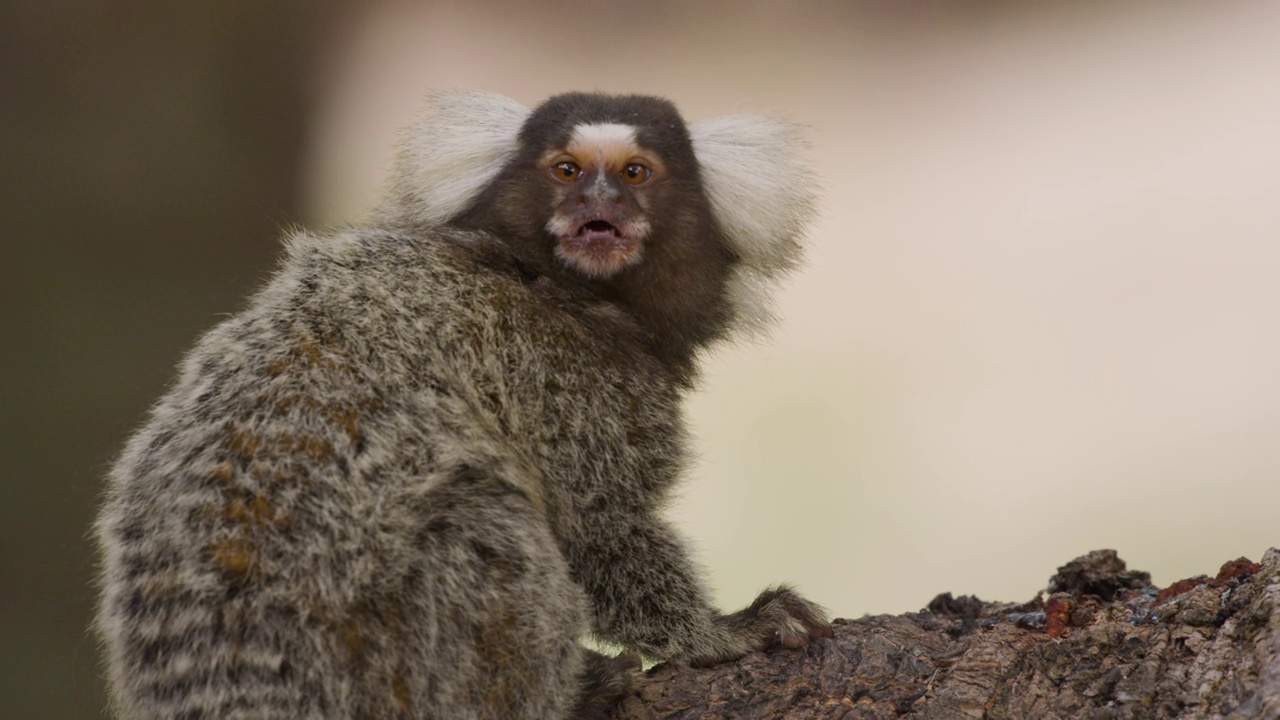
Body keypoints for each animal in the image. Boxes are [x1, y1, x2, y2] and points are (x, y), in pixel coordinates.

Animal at [92, 90, 829, 717]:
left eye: (636, 173)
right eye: (566, 170)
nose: (599, 203)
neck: (560, 285)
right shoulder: (566, 382)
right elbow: (600, 532)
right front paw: (721, 632)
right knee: (484, 523)